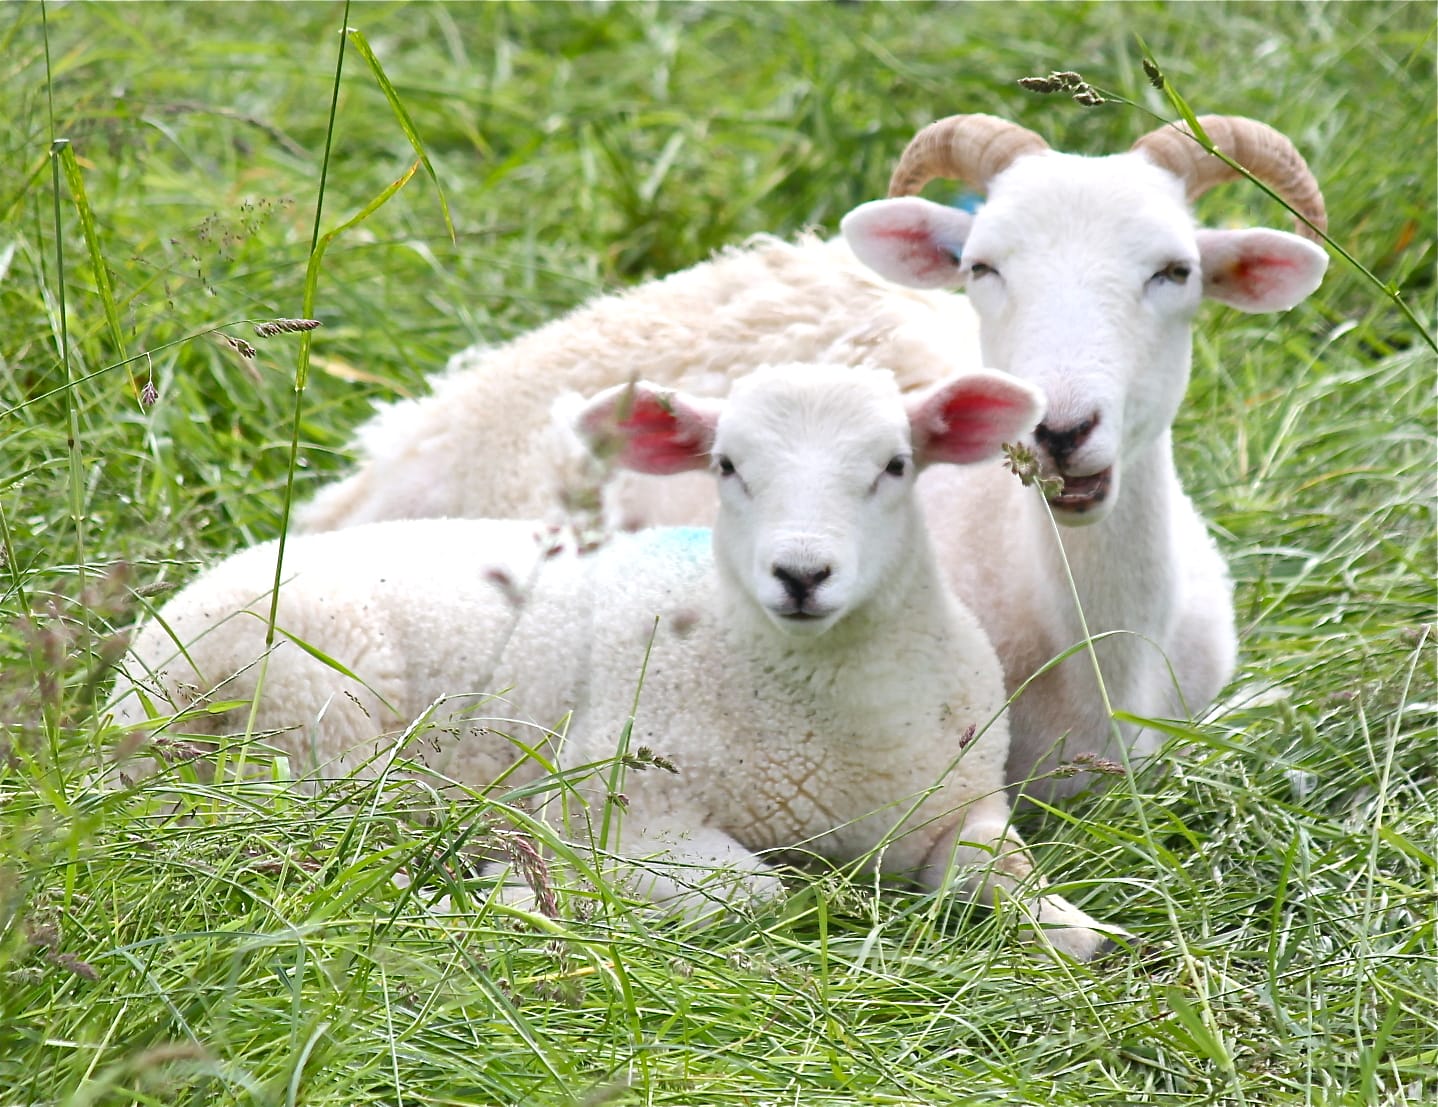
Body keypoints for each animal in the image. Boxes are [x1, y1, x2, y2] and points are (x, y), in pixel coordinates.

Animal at [115, 362, 1119, 959]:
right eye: (727, 466)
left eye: (895, 465)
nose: (801, 574)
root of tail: (130, 685)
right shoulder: (618, 802)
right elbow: (756, 894)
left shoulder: (964, 799)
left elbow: (1011, 874)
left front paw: (1088, 933)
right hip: (317, 716)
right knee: (325, 851)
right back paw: (487, 896)